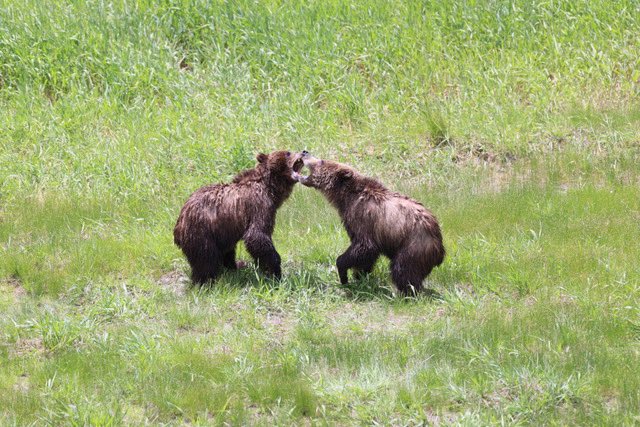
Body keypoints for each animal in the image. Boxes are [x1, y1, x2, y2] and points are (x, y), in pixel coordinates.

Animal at [174, 150, 306, 284]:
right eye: (288, 152)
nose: (304, 151)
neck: (270, 188)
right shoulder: (259, 206)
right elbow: (257, 235)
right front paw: (275, 273)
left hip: (220, 233)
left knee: (227, 252)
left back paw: (234, 266)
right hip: (201, 232)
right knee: (206, 259)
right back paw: (206, 281)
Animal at [292, 152, 445, 295]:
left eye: (322, 160)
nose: (305, 152)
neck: (344, 198)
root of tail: (439, 248)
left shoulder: (364, 219)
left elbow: (364, 247)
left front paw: (344, 275)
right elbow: (367, 257)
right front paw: (360, 276)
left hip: (413, 246)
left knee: (403, 271)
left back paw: (406, 294)